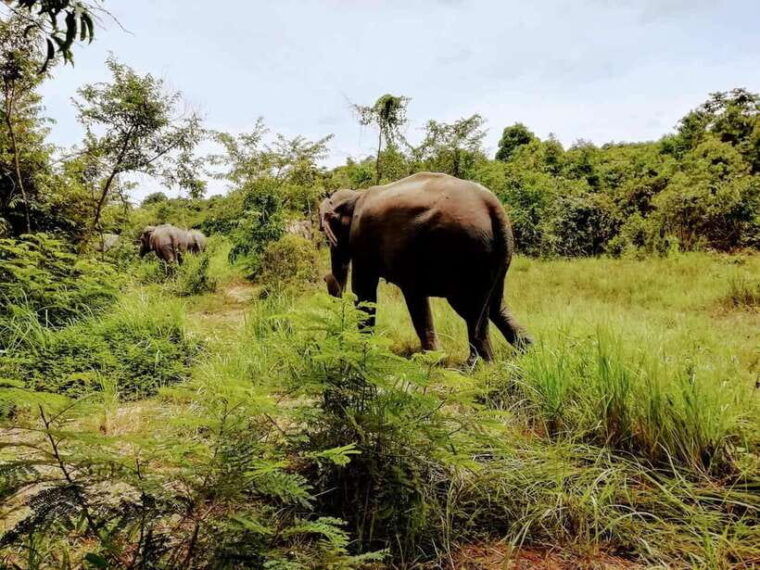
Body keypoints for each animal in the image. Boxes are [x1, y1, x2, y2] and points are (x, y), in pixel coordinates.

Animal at [319, 172, 531, 363]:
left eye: (325, 231)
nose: (325, 277)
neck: (356, 194)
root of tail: (492, 205)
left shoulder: (362, 238)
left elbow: (364, 292)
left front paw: (362, 346)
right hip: (495, 253)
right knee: (495, 303)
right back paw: (525, 351)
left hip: (464, 250)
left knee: (468, 307)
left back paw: (478, 364)